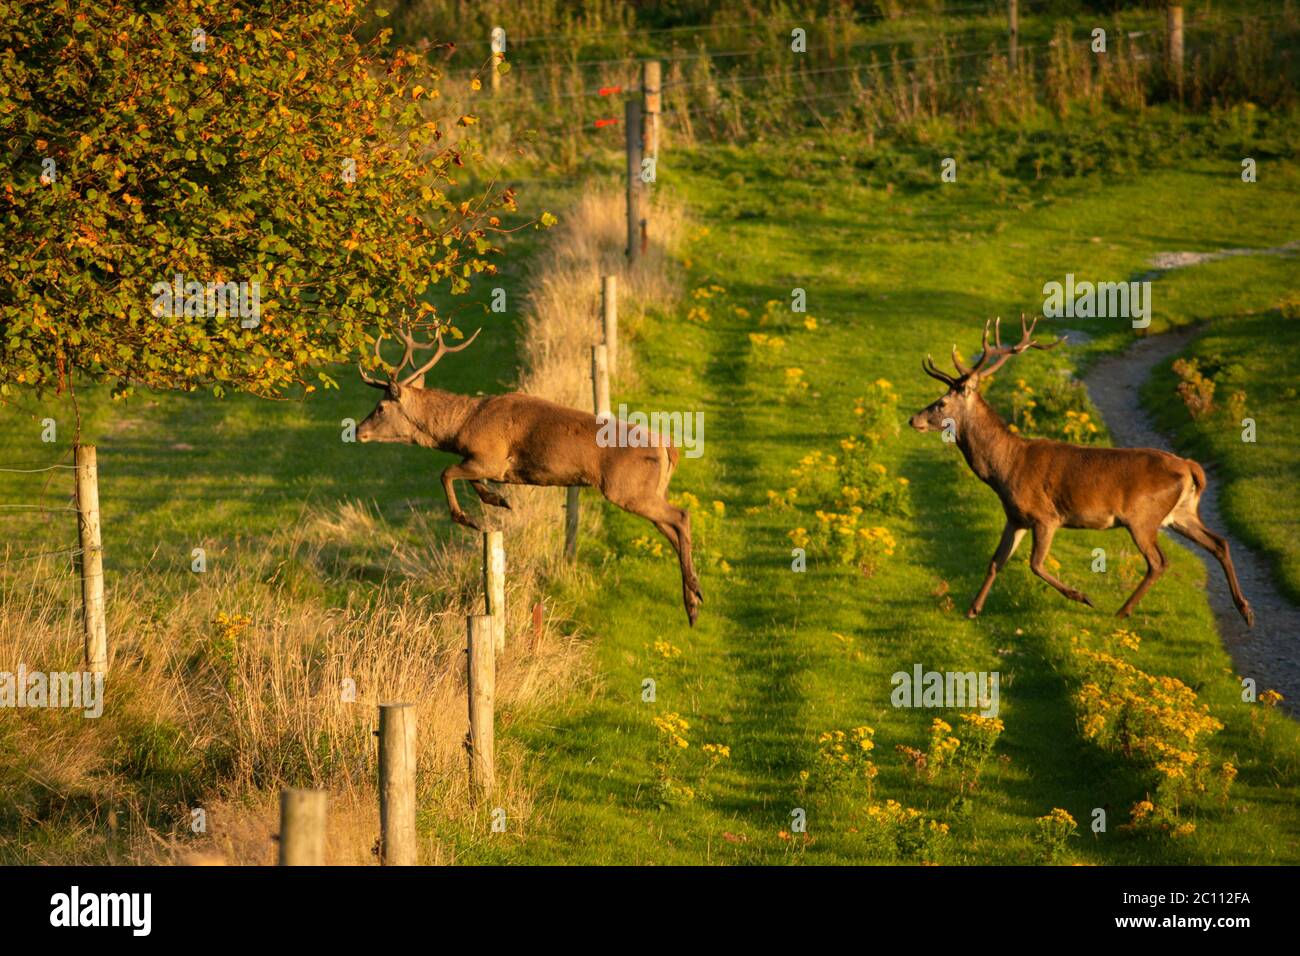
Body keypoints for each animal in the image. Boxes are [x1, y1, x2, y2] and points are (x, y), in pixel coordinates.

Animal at [355, 326, 703, 626]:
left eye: (381, 407)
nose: (358, 430)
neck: (461, 427)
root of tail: (668, 448)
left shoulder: (491, 458)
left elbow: (446, 472)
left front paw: (468, 518)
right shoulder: (487, 464)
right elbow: (470, 479)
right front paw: (497, 499)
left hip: (626, 488)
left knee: (681, 516)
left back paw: (693, 599)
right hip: (648, 490)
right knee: (673, 528)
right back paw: (693, 599)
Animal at [909, 314, 1254, 627]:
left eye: (941, 403)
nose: (914, 419)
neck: (1005, 470)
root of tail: (1190, 467)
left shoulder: (1045, 515)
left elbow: (1035, 564)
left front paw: (1082, 596)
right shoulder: (1015, 517)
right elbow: (996, 561)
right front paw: (973, 609)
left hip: (1143, 516)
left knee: (1159, 561)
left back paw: (1123, 611)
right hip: (1180, 512)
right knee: (1219, 543)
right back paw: (1245, 609)